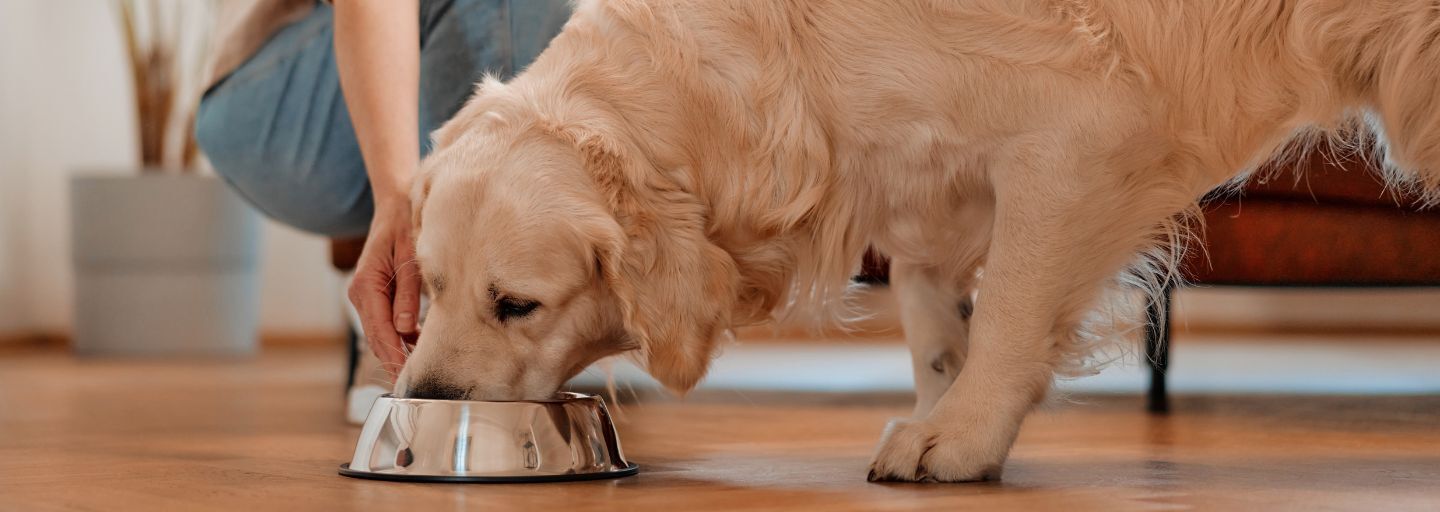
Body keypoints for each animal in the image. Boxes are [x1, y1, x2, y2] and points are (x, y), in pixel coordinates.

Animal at [394, 0, 1440, 483]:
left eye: (517, 305)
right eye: (429, 287)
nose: (422, 403)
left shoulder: (1077, 133)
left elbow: (1012, 306)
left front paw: (962, 439)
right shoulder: (927, 184)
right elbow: (940, 326)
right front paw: (944, 414)